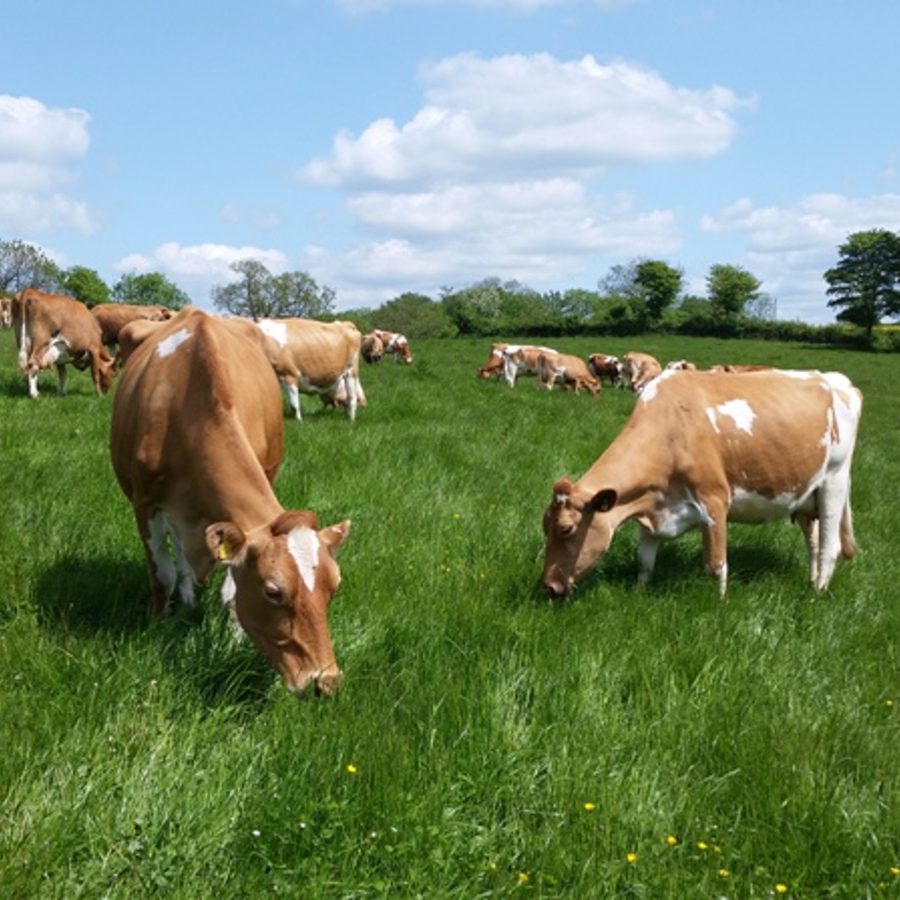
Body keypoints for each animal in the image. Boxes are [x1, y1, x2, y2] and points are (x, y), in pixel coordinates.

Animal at [110, 307, 350, 696]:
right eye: (273, 592)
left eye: (335, 587)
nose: (324, 682)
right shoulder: (145, 503)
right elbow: (161, 576)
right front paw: (158, 629)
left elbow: (231, 591)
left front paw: (234, 640)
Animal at [542, 368, 862, 599]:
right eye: (545, 527)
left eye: (566, 528)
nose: (549, 587)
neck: (672, 428)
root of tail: (838, 380)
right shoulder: (652, 506)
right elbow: (644, 561)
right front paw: (639, 593)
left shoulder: (714, 500)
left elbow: (717, 564)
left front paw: (719, 604)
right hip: (807, 492)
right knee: (814, 542)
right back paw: (811, 581)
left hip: (834, 480)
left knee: (830, 546)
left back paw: (816, 594)